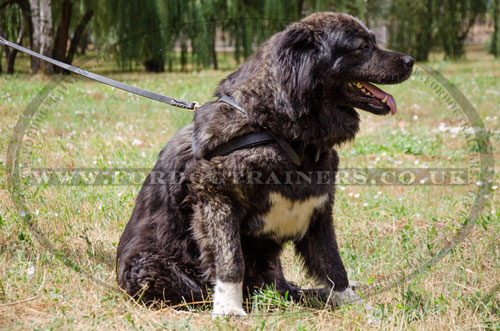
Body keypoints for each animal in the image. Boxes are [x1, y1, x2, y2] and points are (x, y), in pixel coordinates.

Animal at [117, 12, 414, 320]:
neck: (278, 132)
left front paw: (352, 304)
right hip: (150, 266)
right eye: (362, 47)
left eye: (373, 41)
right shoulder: (215, 198)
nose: (411, 61)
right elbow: (231, 259)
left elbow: (333, 264)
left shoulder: (319, 209)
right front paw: (229, 309)